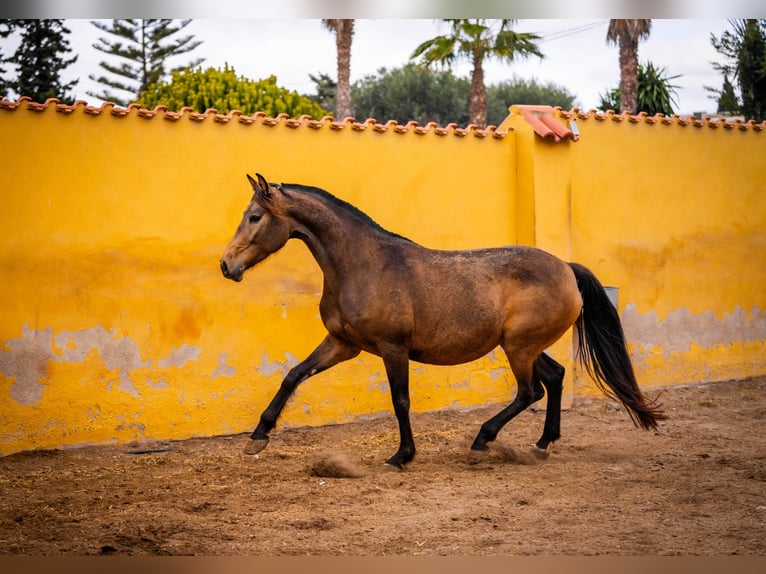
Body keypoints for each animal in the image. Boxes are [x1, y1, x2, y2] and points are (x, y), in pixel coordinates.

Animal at [220, 173, 665, 468]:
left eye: (255, 216)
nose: (227, 265)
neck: (364, 264)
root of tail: (568, 269)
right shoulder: (342, 344)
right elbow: (293, 375)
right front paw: (258, 437)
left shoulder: (393, 348)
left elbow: (400, 400)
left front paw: (402, 455)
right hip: (522, 345)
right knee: (554, 378)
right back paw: (541, 442)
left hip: (518, 347)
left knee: (530, 391)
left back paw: (483, 439)